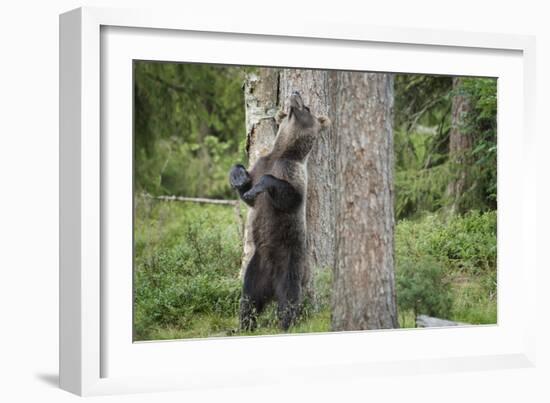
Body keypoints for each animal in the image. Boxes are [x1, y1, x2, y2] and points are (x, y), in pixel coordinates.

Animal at [230, 92, 330, 332]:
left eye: (307, 108)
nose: (295, 93)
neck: (283, 152)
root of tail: (271, 286)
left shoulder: (293, 174)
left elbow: (288, 196)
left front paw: (258, 188)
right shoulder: (261, 164)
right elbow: (247, 194)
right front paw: (239, 176)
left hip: (291, 262)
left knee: (289, 298)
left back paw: (286, 323)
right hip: (255, 268)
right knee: (248, 298)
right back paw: (243, 325)